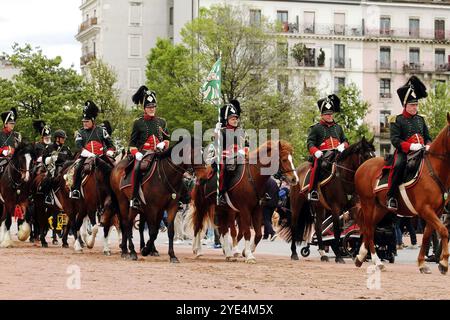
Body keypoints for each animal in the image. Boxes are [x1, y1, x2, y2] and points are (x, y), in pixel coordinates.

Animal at [354, 115, 450, 276]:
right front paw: (443, 263)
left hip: (380, 208)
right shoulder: (426, 209)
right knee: (368, 229)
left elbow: (426, 236)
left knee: (371, 228)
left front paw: (422, 264)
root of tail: (363, 166)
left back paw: (360, 256)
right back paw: (377, 262)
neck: (434, 170)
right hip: (368, 203)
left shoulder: (436, 211)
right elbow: (443, 230)